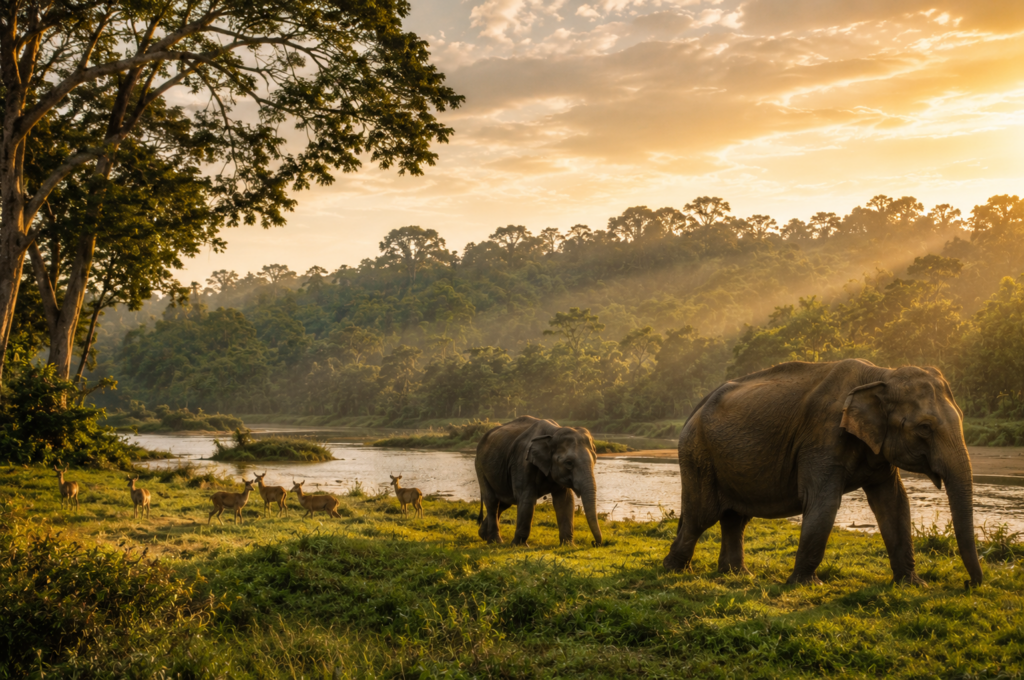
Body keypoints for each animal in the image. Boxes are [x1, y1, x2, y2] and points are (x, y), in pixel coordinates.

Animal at [475, 416, 603, 547]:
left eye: (595, 460)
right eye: (568, 463)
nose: (594, 543)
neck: (554, 432)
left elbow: (565, 501)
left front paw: (568, 545)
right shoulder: (522, 463)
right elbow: (527, 498)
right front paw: (520, 546)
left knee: (504, 503)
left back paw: (483, 535)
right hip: (480, 466)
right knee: (492, 501)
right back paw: (495, 541)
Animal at [662, 359, 983, 587]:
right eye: (925, 428)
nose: (969, 584)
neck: (880, 374)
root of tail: (695, 409)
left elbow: (894, 503)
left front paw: (913, 584)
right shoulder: (822, 437)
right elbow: (823, 502)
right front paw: (805, 585)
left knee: (735, 518)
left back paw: (738, 575)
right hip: (697, 454)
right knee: (701, 515)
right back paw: (673, 569)